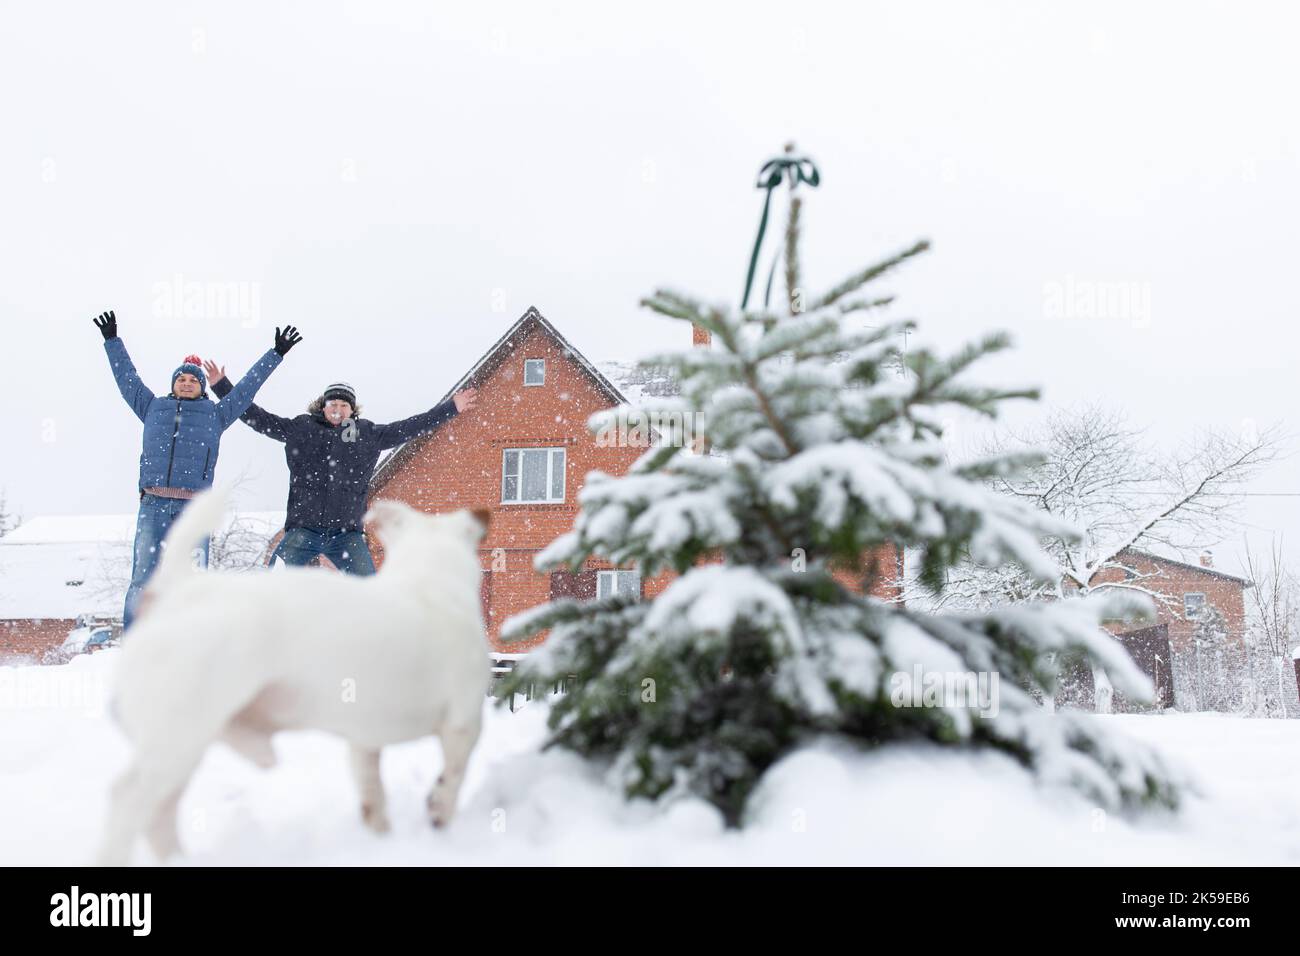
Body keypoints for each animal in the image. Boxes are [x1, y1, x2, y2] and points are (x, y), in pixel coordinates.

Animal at [97, 494, 491, 868]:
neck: (428, 578)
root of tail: (182, 591)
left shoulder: (364, 739)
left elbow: (373, 794)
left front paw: (381, 840)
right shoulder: (464, 721)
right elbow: (454, 774)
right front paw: (439, 814)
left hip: (189, 740)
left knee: (159, 813)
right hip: (178, 732)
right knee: (127, 799)